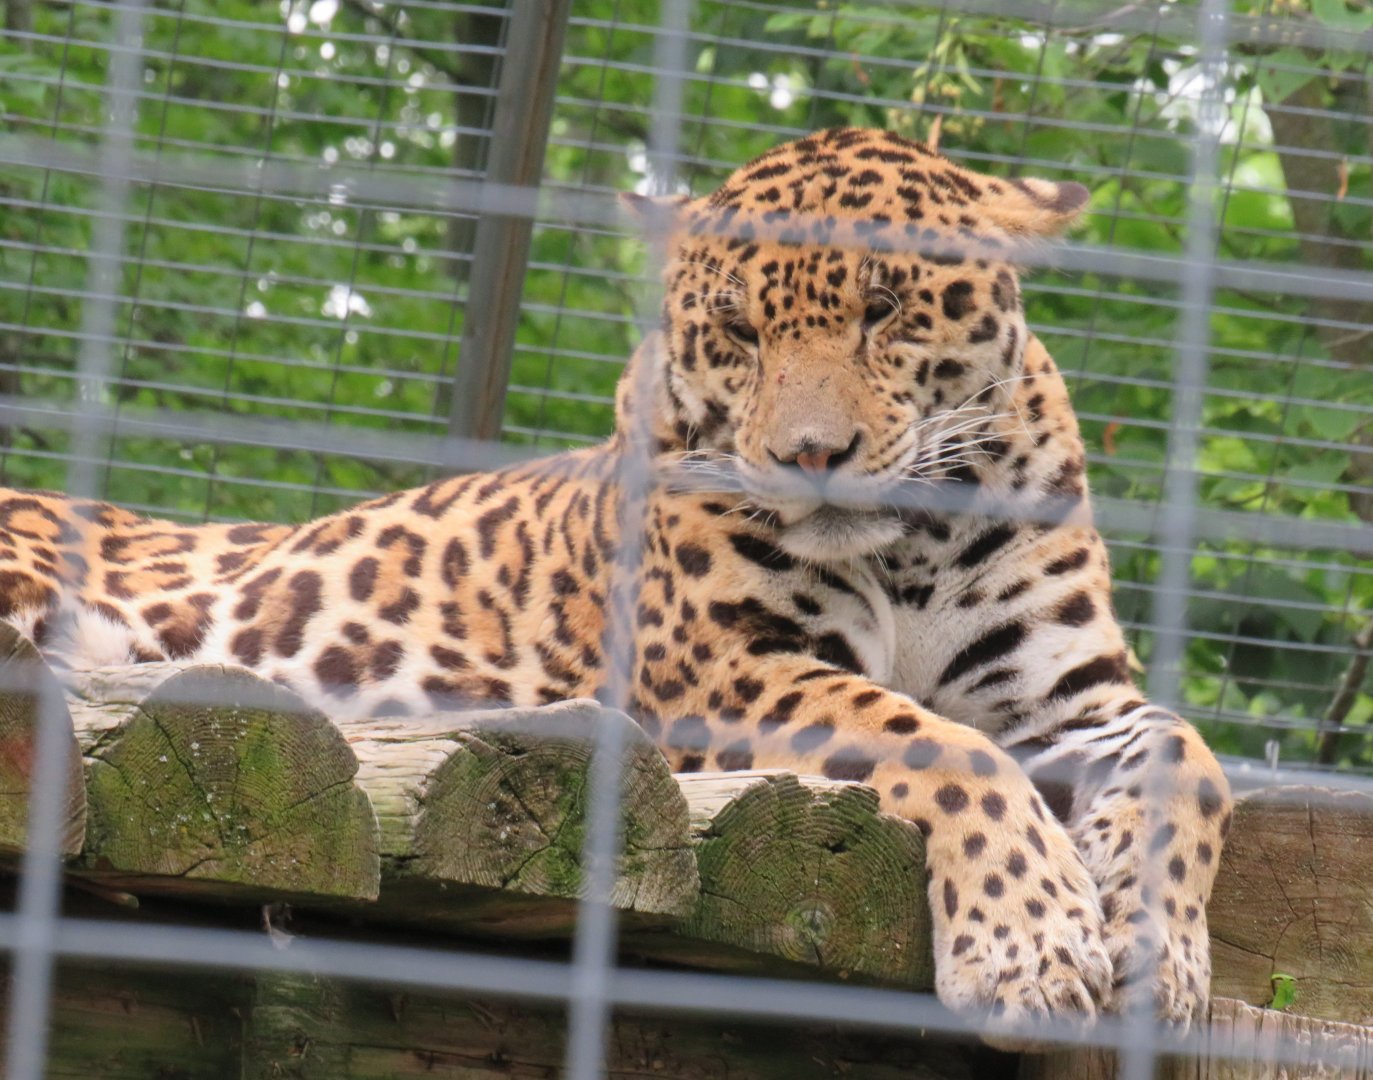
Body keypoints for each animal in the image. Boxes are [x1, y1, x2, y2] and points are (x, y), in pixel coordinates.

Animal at [0, 127, 1230, 1043]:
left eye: (885, 309)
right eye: (735, 329)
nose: (808, 455)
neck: (911, 545)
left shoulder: (1062, 699)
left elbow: (1188, 759)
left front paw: (1162, 958)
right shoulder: (730, 673)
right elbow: (929, 740)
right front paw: (1032, 944)